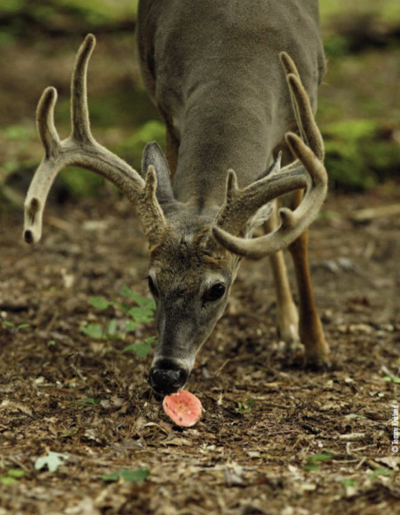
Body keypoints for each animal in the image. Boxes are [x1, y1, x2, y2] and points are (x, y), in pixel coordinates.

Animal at [23, 1, 330, 396]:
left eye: (217, 289)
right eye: (151, 282)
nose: (166, 374)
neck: (236, 51)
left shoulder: (303, 117)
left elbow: (297, 237)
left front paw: (317, 348)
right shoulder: (168, 109)